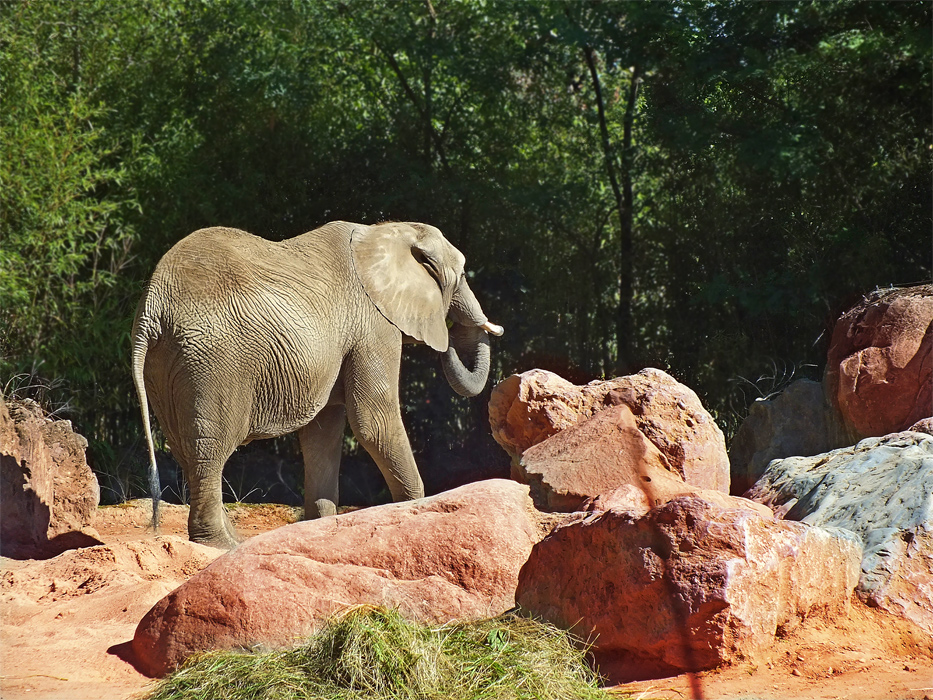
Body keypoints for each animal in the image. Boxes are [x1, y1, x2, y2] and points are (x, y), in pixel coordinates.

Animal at [131, 221, 502, 548]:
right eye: (463, 275)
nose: (450, 332)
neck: (386, 232)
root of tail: (152, 305)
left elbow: (323, 431)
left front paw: (319, 527)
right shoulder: (373, 323)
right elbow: (373, 423)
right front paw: (413, 511)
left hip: (166, 365)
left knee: (186, 449)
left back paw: (231, 540)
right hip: (212, 361)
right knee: (210, 449)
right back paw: (221, 544)